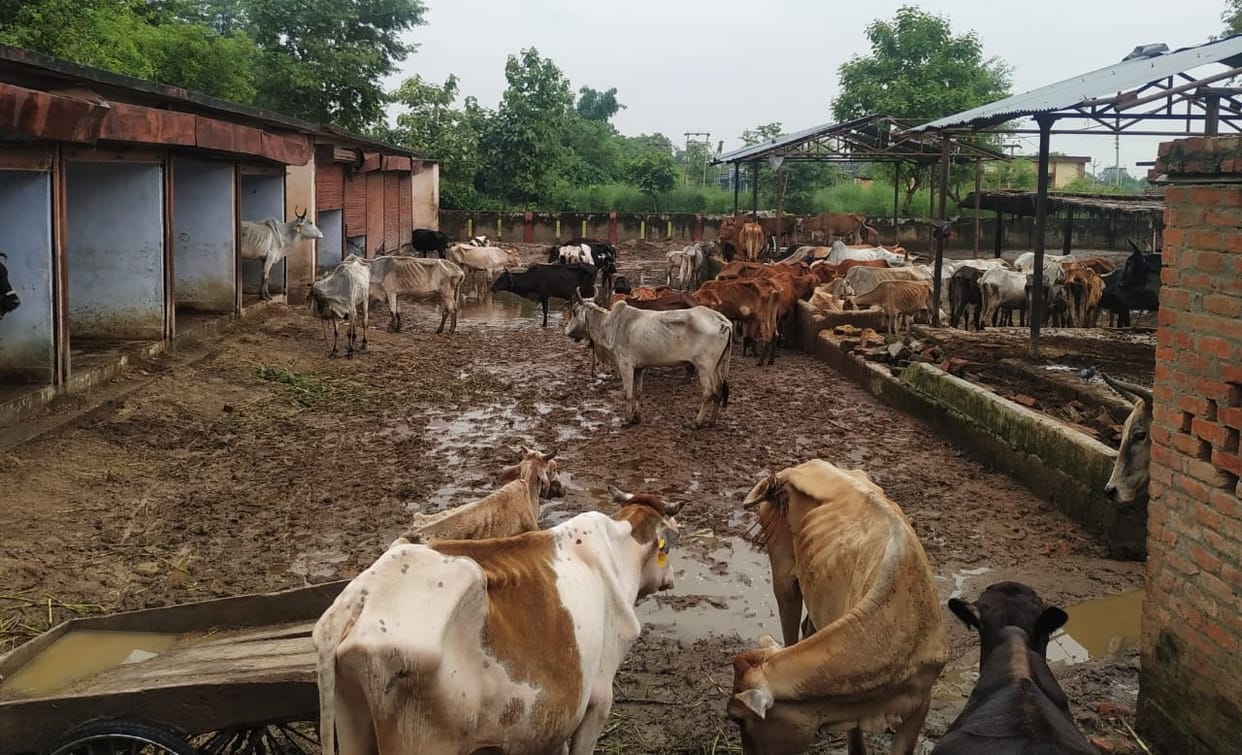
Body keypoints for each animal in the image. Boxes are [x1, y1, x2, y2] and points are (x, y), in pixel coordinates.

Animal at [314, 489, 682, 755]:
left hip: (353, 727)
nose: (671, 579)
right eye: (668, 548)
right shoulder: (599, 701)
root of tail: (360, 598)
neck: (620, 554)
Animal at [565, 294, 731, 428]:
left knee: (709, 393)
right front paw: (636, 417)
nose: (566, 331)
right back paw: (711, 421)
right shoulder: (639, 368)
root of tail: (721, 320)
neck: (611, 325)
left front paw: (627, 419)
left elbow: (627, 393)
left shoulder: (625, 365)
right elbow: (638, 392)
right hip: (716, 366)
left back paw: (696, 422)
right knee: (718, 390)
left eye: (574, 311)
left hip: (704, 367)